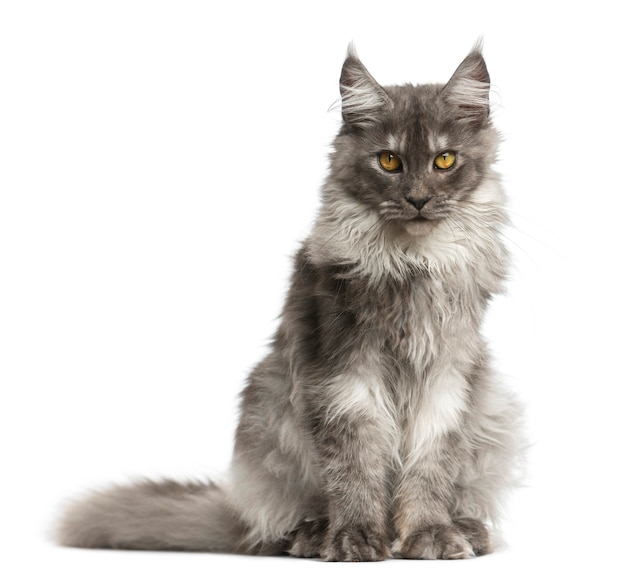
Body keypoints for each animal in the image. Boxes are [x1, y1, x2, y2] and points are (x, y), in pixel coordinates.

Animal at [56, 43, 520, 564]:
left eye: (444, 160)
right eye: (388, 161)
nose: (418, 199)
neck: (411, 262)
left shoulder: (448, 376)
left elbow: (431, 465)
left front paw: (430, 533)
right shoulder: (344, 376)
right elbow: (355, 466)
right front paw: (356, 536)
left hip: (493, 403)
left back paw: (468, 528)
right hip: (269, 401)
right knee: (281, 522)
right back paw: (314, 535)